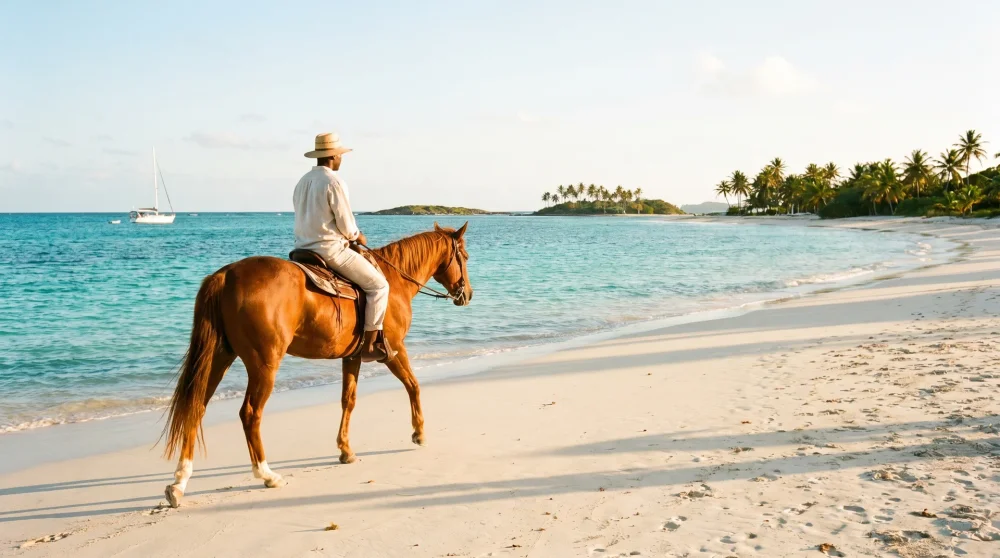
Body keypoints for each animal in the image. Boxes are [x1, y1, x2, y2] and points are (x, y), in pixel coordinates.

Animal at [161, 222, 472, 507]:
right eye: (466, 256)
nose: (467, 294)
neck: (394, 281)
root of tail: (225, 275)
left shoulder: (352, 357)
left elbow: (349, 400)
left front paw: (345, 450)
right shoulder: (394, 351)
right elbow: (413, 386)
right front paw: (419, 433)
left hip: (219, 357)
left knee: (196, 406)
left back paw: (179, 482)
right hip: (264, 363)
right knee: (250, 414)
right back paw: (266, 474)